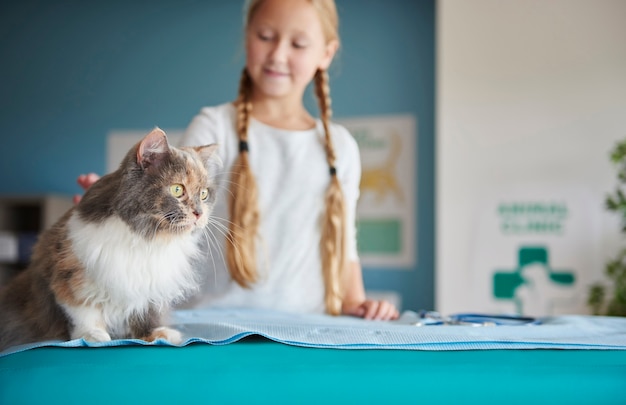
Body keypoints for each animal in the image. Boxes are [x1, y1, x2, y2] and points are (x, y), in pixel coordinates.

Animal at [0, 128, 218, 348]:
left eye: (204, 194)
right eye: (177, 189)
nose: (199, 213)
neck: (146, 238)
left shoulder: (150, 284)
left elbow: (145, 312)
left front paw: (154, 334)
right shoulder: (70, 272)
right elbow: (83, 309)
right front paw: (92, 335)